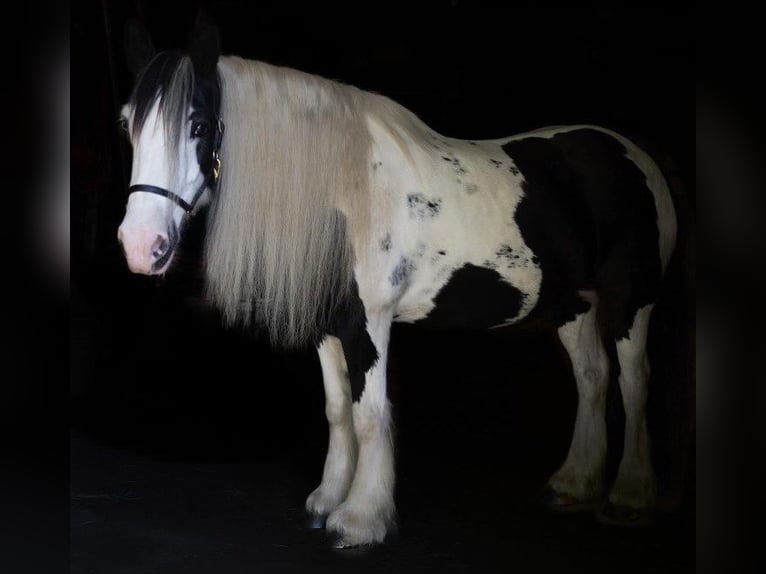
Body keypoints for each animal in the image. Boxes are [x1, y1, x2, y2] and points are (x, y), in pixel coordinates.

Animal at [114, 22, 680, 552]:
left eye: (198, 125)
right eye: (127, 125)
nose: (141, 246)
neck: (346, 193)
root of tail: (634, 155)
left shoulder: (372, 322)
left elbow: (368, 414)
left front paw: (361, 519)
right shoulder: (330, 327)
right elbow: (337, 410)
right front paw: (327, 499)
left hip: (632, 301)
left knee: (633, 381)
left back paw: (629, 496)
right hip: (573, 305)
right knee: (592, 377)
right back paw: (574, 483)